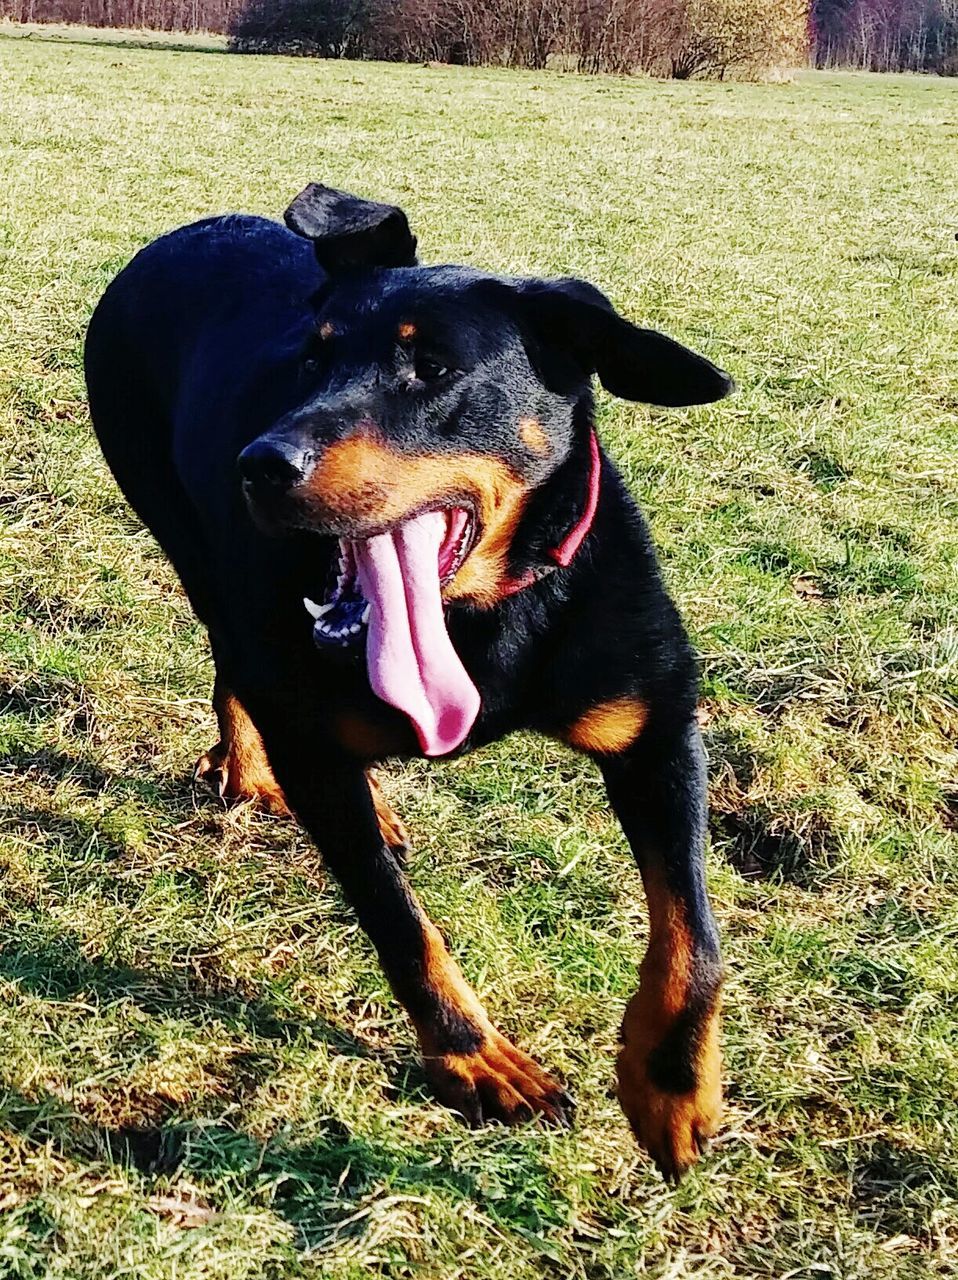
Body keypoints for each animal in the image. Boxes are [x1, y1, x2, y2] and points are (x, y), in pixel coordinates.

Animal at [85, 180, 732, 1177]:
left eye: (430, 368)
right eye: (306, 361)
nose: (259, 464)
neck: (480, 623)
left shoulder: (656, 727)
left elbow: (692, 933)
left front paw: (671, 1086)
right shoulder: (313, 749)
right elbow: (398, 921)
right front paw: (475, 1059)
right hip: (190, 542)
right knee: (231, 659)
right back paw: (249, 768)